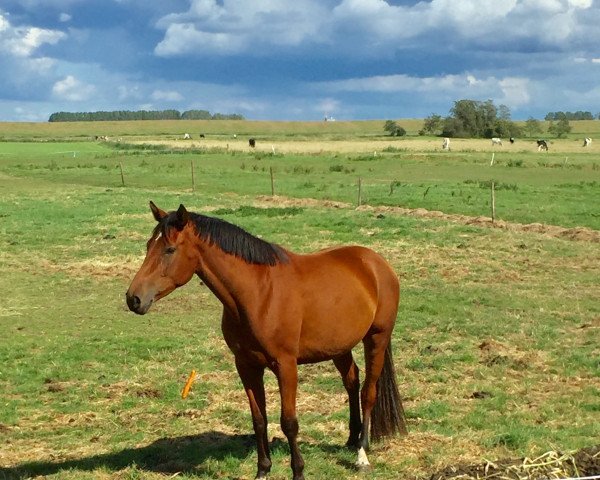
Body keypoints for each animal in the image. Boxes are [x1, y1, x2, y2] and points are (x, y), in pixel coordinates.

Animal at [126, 202, 408, 480]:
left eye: (169, 249)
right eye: (149, 246)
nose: (133, 299)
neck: (259, 293)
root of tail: (376, 263)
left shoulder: (286, 366)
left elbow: (289, 423)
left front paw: (298, 472)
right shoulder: (247, 365)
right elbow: (258, 419)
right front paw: (262, 470)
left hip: (377, 338)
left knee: (368, 392)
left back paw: (362, 453)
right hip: (339, 346)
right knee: (351, 381)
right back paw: (351, 438)